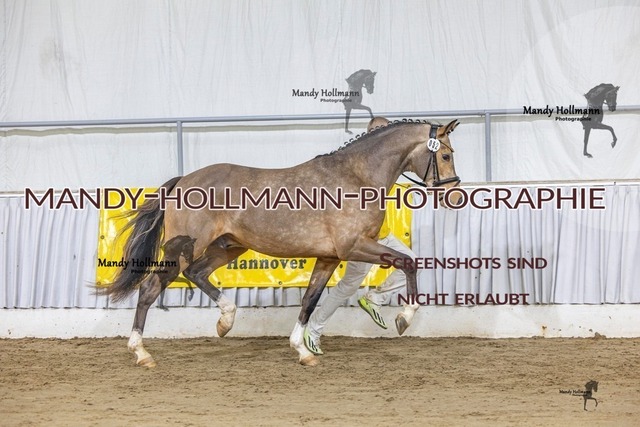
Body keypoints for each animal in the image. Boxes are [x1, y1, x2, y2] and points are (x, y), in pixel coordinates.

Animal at [99, 119, 462, 367]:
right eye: (445, 155)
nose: (455, 195)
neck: (356, 177)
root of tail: (183, 181)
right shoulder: (354, 247)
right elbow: (407, 262)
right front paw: (404, 318)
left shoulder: (330, 258)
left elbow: (310, 300)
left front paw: (303, 350)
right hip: (188, 248)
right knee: (151, 288)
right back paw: (141, 353)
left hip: (227, 246)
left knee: (197, 274)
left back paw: (225, 321)